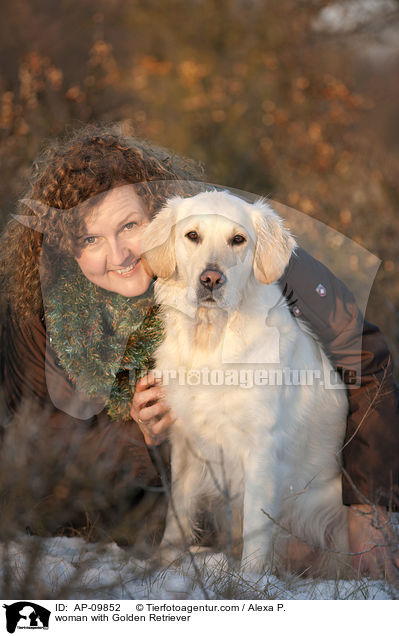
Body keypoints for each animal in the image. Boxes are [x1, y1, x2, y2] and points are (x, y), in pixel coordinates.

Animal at [141, 191, 350, 572]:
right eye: (192, 235)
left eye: (238, 240)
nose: (211, 279)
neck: (211, 339)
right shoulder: (187, 445)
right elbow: (177, 514)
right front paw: (165, 563)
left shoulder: (261, 450)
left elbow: (255, 528)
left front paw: (251, 579)